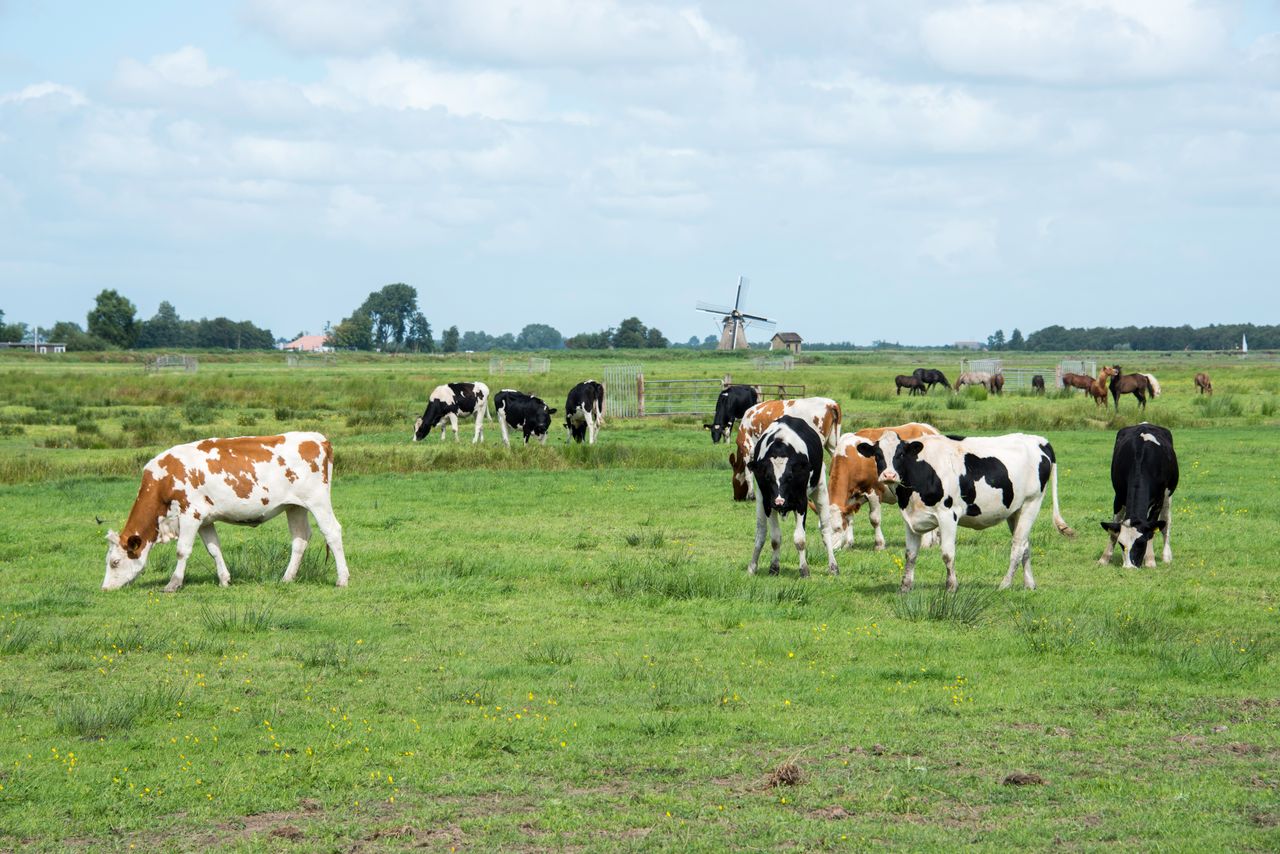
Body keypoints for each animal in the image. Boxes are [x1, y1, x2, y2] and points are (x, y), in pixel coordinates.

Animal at [101, 432, 350, 592]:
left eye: (114, 562)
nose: (105, 588)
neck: (165, 480)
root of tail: (319, 438)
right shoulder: (205, 520)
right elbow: (214, 549)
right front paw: (224, 580)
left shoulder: (190, 514)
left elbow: (182, 550)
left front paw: (173, 583)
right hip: (295, 506)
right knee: (300, 539)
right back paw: (287, 578)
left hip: (318, 501)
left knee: (332, 532)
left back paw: (342, 579)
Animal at [745, 416, 839, 578]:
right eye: (768, 477)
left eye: (790, 477)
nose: (779, 501)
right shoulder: (768, 504)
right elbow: (775, 539)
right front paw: (774, 567)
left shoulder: (802, 503)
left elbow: (800, 539)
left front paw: (804, 570)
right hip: (761, 500)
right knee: (761, 533)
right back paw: (752, 567)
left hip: (820, 490)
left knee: (826, 530)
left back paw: (833, 566)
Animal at [854, 431, 1075, 592]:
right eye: (878, 455)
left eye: (900, 454)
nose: (889, 475)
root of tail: (1039, 440)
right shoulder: (910, 519)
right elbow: (910, 555)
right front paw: (905, 587)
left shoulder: (948, 515)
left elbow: (947, 553)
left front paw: (951, 586)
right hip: (1016, 510)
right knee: (1026, 546)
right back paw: (1029, 585)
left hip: (1032, 502)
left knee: (1018, 545)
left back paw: (1004, 585)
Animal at [1099, 423, 1179, 569]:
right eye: (1121, 544)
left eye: (1141, 543)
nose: (1129, 567)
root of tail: (1145, 424)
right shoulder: (1118, 496)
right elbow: (1113, 529)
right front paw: (1104, 558)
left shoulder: (1158, 501)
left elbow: (1152, 529)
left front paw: (1150, 560)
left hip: (1168, 495)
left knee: (1166, 522)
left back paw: (1166, 556)